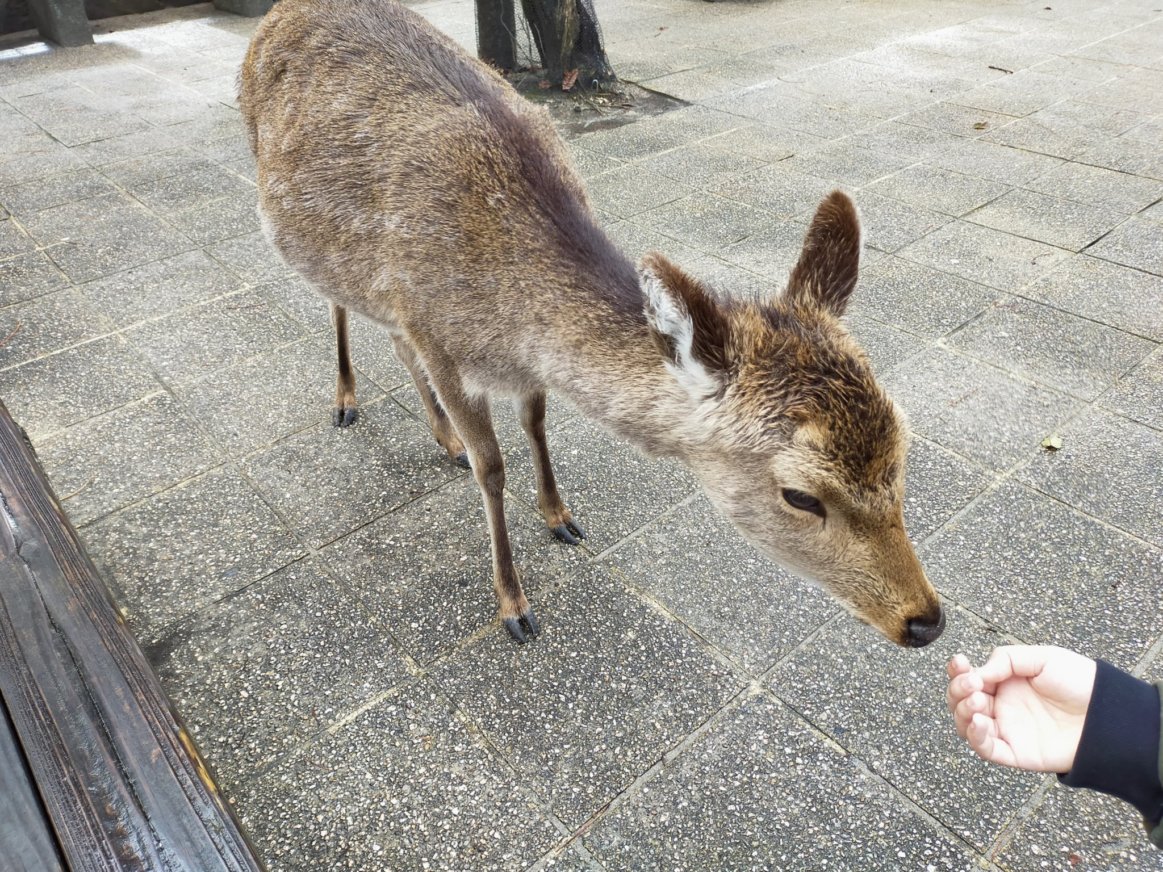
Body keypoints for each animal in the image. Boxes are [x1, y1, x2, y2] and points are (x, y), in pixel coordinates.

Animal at [238, 0, 944, 651]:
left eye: (904, 447)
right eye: (801, 495)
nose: (926, 620)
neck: (509, 317)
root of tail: (274, 16)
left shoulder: (511, 357)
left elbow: (535, 422)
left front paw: (559, 515)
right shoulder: (436, 334)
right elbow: (491, 467)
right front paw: (514, 604)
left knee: (383, 326)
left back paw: (440, 436)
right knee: (336, 302)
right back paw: (348, 400)